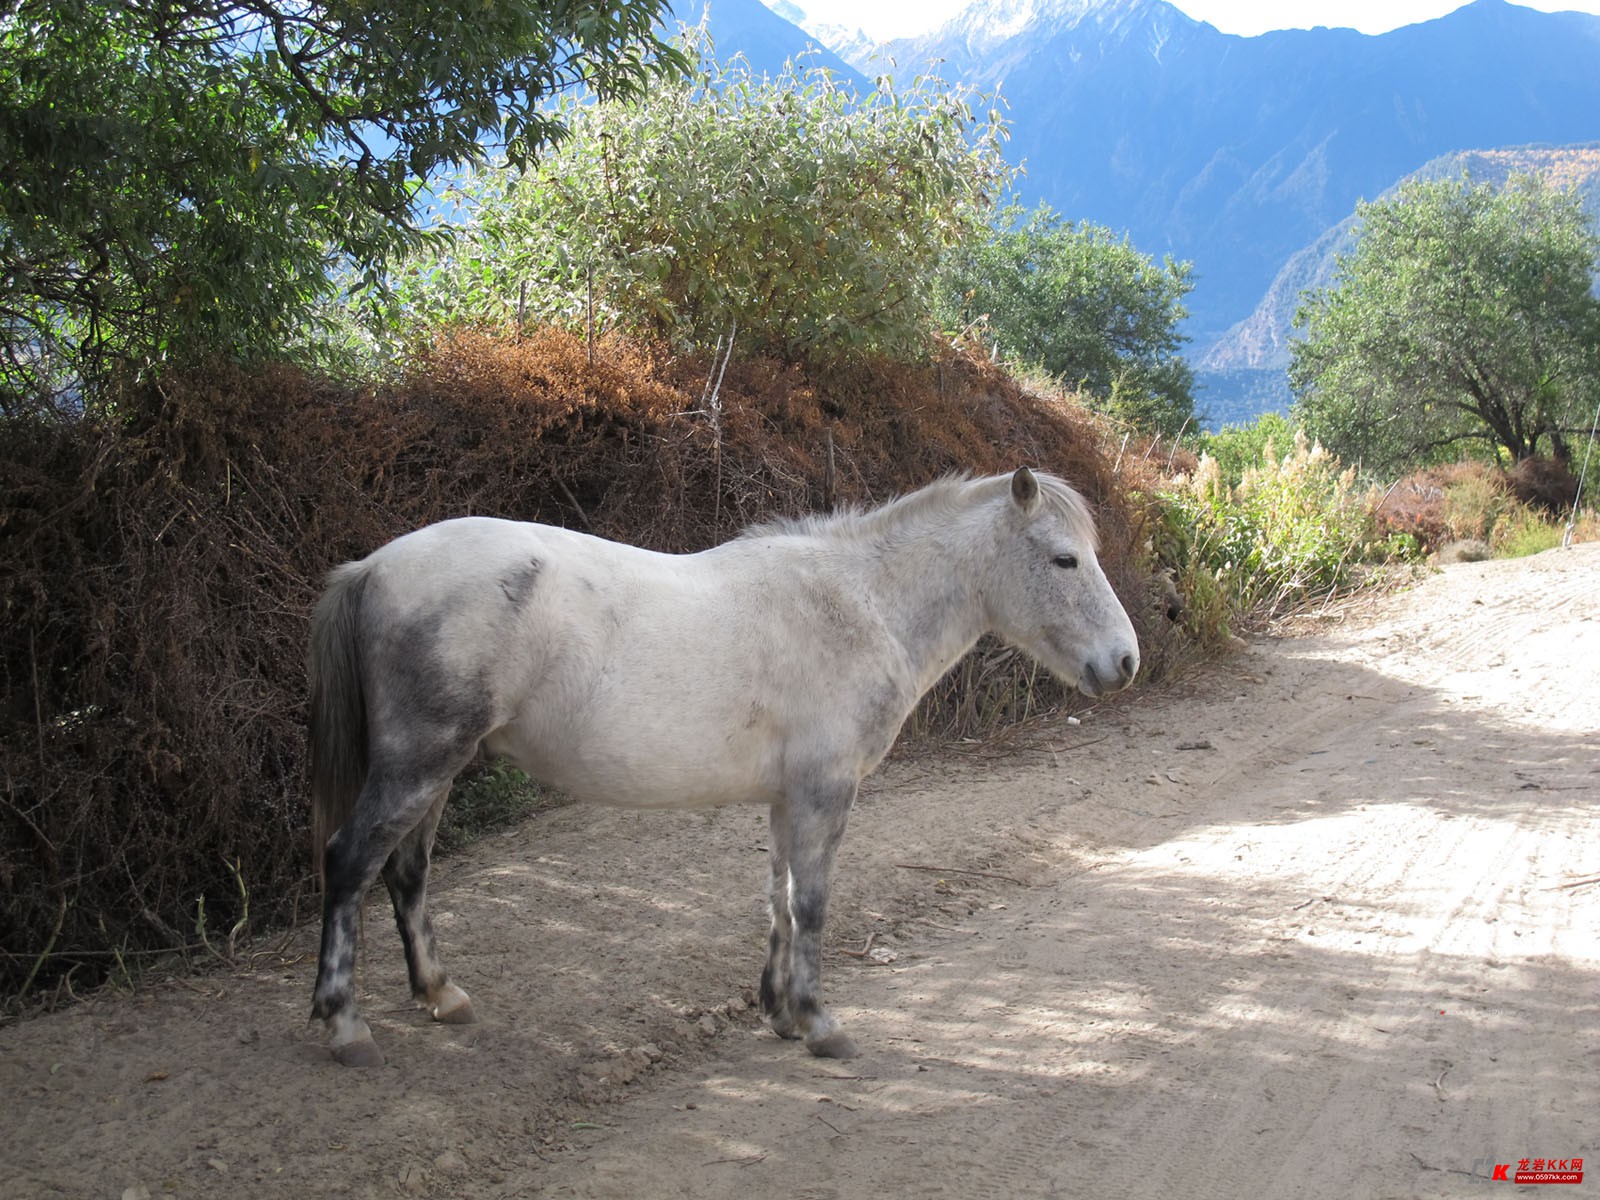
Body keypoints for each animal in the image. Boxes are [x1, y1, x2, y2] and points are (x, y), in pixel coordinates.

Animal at [308, 470, 1139, 1068]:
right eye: (1064, 558)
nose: (1125, 662)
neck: (859, 606)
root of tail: (374, 566)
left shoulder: (788, 797)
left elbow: (778, 900)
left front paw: (779, 1013)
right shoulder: (826, 791)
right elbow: (812, 904)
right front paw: (821, 1023)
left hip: (435, 769)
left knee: (405, 873)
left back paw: (439, 994)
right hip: (420, 761)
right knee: (349, 862)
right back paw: (345, 1025)